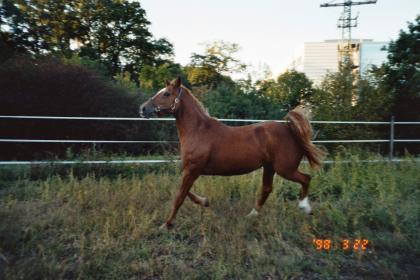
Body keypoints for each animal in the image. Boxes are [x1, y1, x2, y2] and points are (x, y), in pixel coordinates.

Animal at [141, 77, 324, 230]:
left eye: (166, 93)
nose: (143, 108)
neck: (198, 131)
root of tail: (289, 129)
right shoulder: (190, 170)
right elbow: (184, 192)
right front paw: (205, 201)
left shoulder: (192, 170)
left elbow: (179, 196)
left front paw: (167, 224)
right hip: (269, 167)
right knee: (266, 189)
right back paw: (251, 216)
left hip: (284, 169)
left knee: (306, 178)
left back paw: (305, 207)